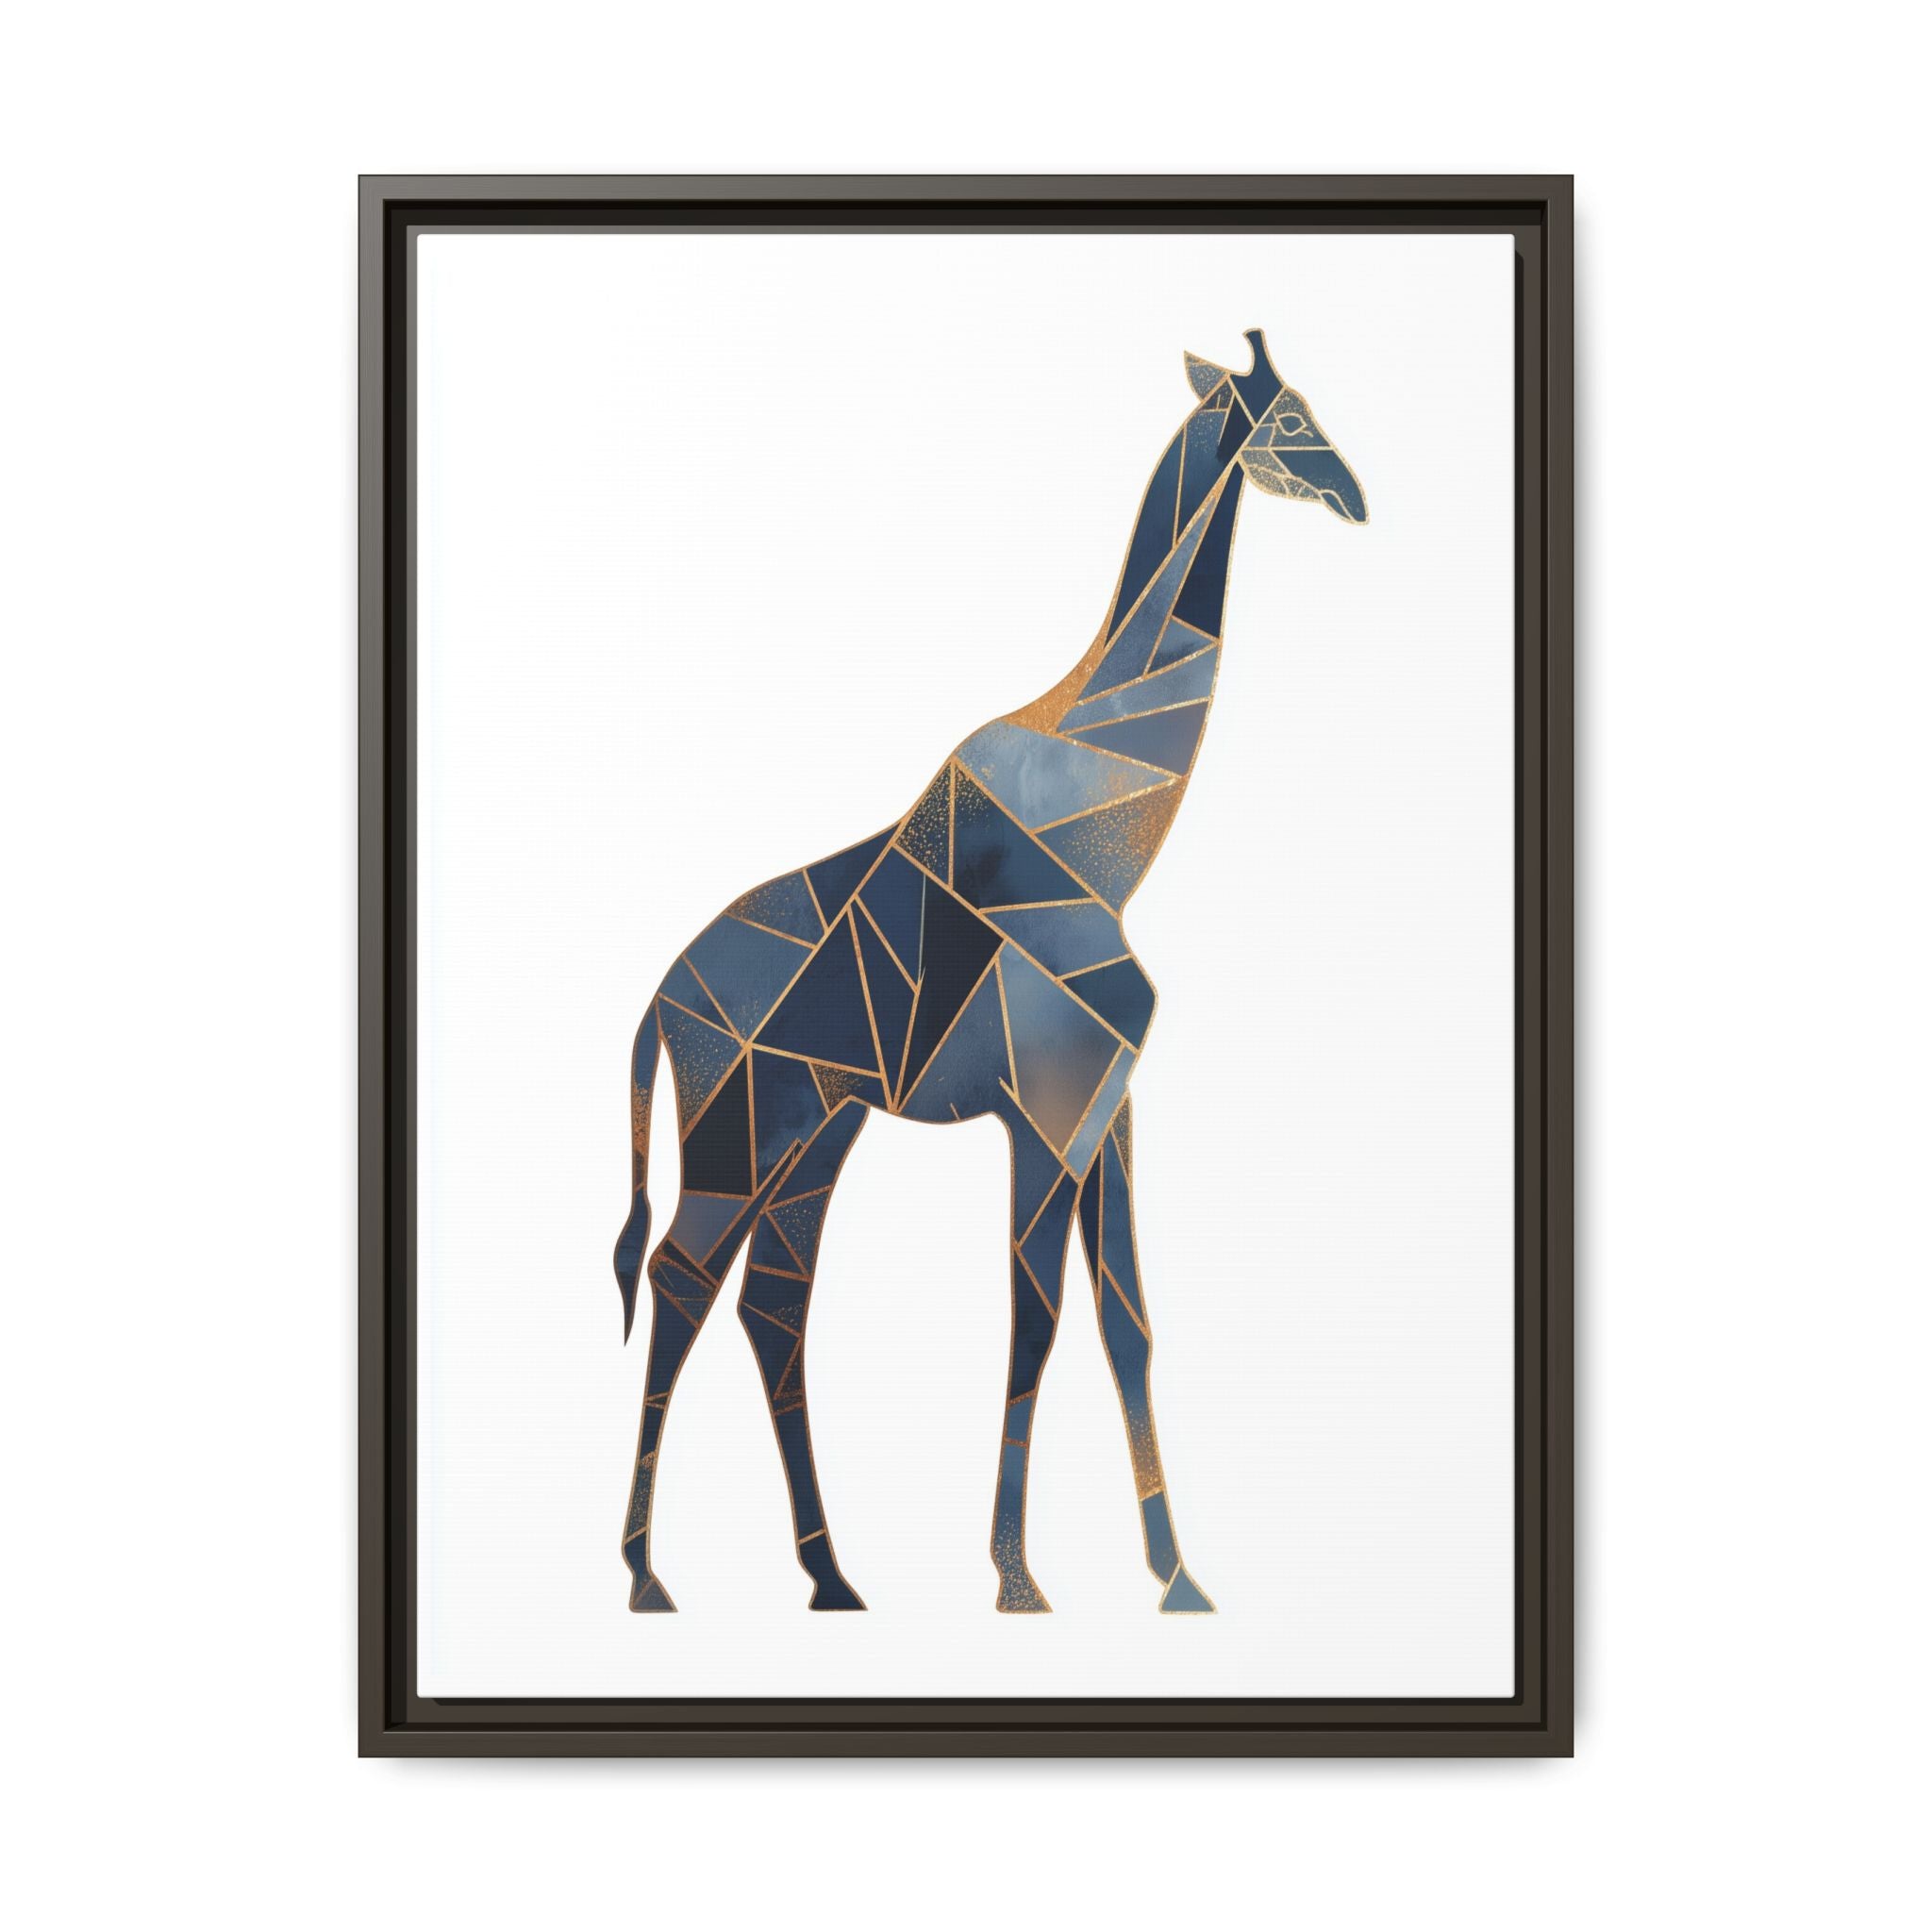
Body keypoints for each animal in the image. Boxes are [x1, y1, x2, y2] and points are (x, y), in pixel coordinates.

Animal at [613, 329, 1367, 1615]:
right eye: (1287, 418)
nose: (1354, 495)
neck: (1108, 834)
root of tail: (659, 1001)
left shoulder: (1107, 1106)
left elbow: (1127, 1322)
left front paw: (1176, 1578)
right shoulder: (1046, 1109)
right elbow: (1037, 1319)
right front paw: (1016, 1577)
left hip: (816, 1133)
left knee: (771, 1302)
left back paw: (830, 1575)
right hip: (737, 1130)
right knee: (677, 1281)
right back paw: (645, 1575)